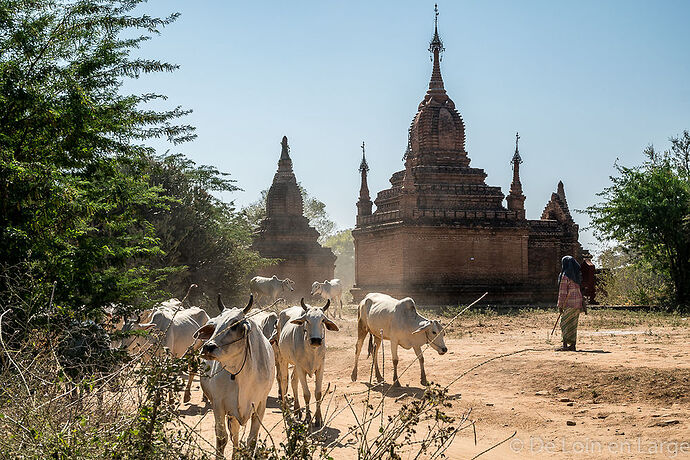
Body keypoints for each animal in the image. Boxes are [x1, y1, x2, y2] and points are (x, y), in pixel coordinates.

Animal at [195, 296, 272, 458]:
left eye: (234, 325)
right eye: (215, 325)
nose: (208, 347)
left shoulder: (261, 404)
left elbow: (252, 440)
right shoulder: (218, 404)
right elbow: (222, 438)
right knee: (234, 435)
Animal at [276, 298, 338, 428]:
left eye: (322, 320)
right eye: (307, 320)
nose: (316, 340)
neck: (312, 351)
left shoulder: (320, 367)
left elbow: (318, 393)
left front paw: (319, 419)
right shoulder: (301, 368)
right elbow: (307, 394)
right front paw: (308, 419)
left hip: (295, 364)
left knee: (293, 380)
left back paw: (297, 410)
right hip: (282, 358)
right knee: (284, 381)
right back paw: (286, 410)